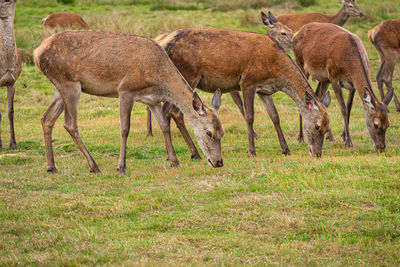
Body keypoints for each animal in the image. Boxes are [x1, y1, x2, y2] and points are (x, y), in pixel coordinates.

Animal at [33, 30, 225, 174]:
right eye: (208, 132)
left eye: (222, 132)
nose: (219, 162)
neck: (159, 79)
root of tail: (36, 52)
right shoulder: (125, 90)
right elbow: (125, 128)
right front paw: (121, 166)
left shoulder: (153, 100)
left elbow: (164, 125)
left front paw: (174, 161)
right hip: (69, 84)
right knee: (70, 124)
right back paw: (94, 166)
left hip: (59, 88)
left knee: (46, 118)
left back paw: (51, 167)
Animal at [144, 21, 332, 159]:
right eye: (317, 126)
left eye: (327, 126)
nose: (317, 153)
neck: (276, 68)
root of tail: (164, 43)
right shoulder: (248, 82)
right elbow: (249, 117)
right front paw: (252, 151)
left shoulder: (265, 90)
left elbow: (275, 116)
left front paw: (286, 149)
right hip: (187, 76)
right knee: (173, 112)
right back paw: (193, 153)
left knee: (169, 112)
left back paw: (180, 154)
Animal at [294, 22, 390, 153]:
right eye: (376, 124)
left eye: (388, 124)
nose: (381, 148)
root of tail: (297, 32)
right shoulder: (334, 78)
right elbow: (343, 109)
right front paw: (349, 142)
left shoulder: (352, 85)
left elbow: (349, 107)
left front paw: (344, 137)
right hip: (301, 64)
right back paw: (300, 138)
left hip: (324, 79)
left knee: (318, 97)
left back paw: (330, 136)